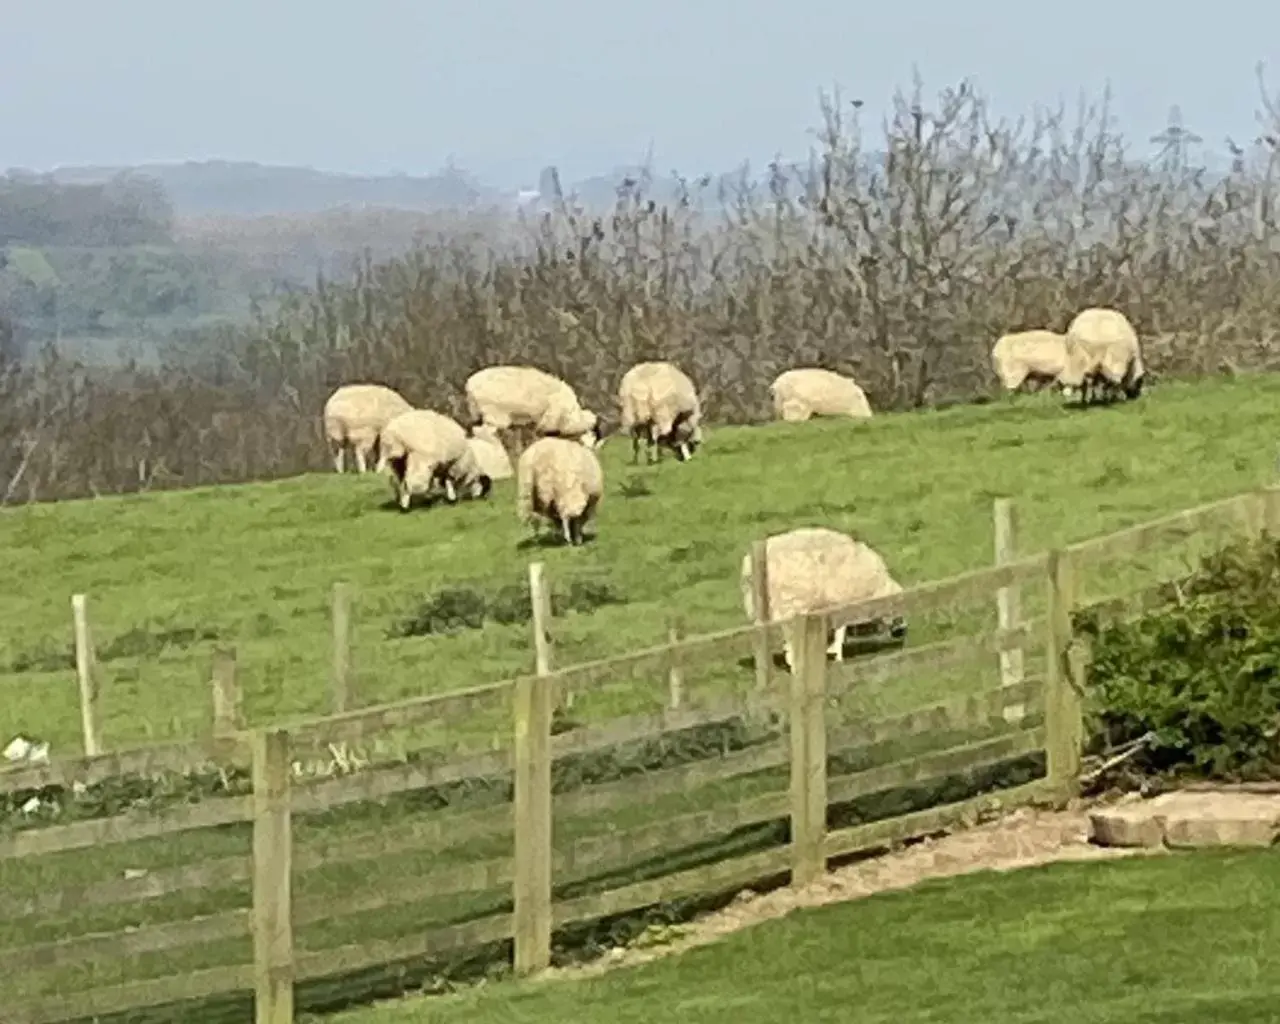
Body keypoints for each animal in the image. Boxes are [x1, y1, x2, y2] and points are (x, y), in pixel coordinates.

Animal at [463, 363, 601, 453]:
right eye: (594, 435)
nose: (592, 451)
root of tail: (470, 385)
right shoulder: (548, 420)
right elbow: (540, 435)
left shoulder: (527, 420)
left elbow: (522, 436)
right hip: (495, 414)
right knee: (483, 432)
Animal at [737, 527, 906, 670]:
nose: (901, 631)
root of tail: (749, 568)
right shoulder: (842, 601)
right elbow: (840, 630)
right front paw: (836, 654)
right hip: (790, 603)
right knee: (790, 635)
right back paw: (794, 664)